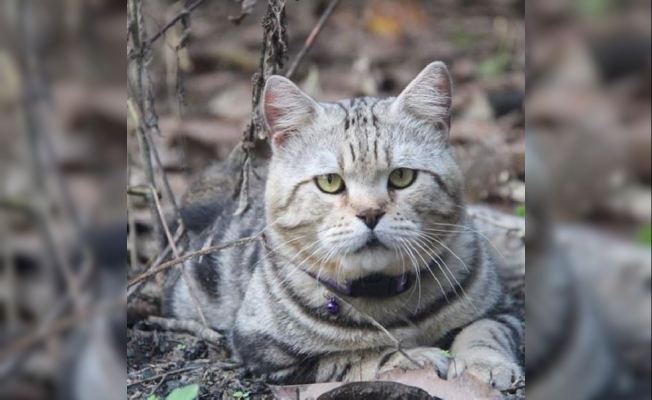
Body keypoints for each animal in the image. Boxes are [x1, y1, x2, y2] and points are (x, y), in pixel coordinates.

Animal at [164, 63, 524, 390]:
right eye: (330, 182)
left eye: (402, 176)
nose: (370, 213)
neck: (384, 297)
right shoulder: (266, 351)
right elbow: (359, 355)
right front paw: (415, 357)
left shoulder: (503, 310)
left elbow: (483, 330)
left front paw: (483, 365)